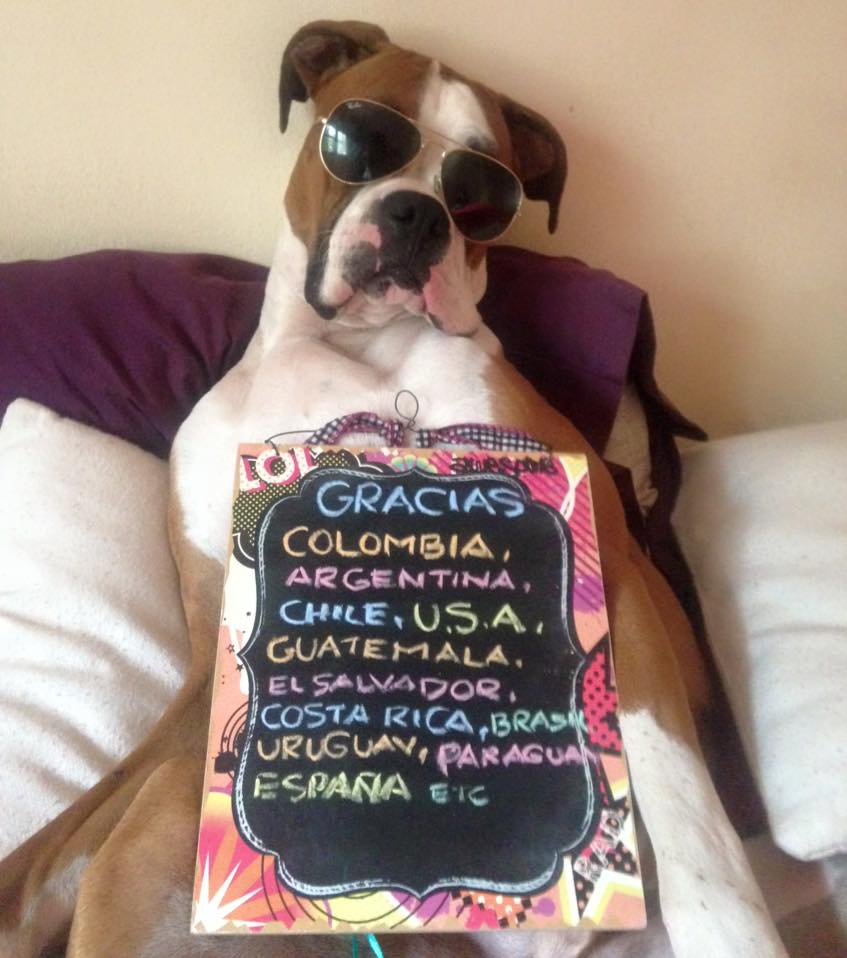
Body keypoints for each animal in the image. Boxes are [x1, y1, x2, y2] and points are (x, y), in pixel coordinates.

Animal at [0, 20, 786, 958]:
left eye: (483, 188)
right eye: (361, 135)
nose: (419, 212)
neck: (350, 353)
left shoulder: (611, 579)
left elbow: (686, 813)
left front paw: (726, 923)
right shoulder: (210, 658)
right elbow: (74, 826)